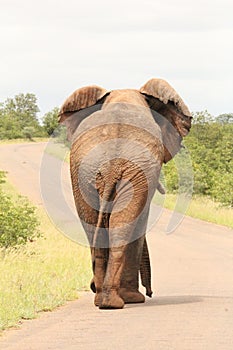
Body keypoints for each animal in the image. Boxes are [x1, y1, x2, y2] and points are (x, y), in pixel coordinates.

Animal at [58, 78, 191, 308]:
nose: (150, 293)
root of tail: (111, 164)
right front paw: (134, 298)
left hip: (89, 171)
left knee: (95, 226)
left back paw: (103, 300)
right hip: (116, 170)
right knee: (121, 225)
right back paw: (118, 301)